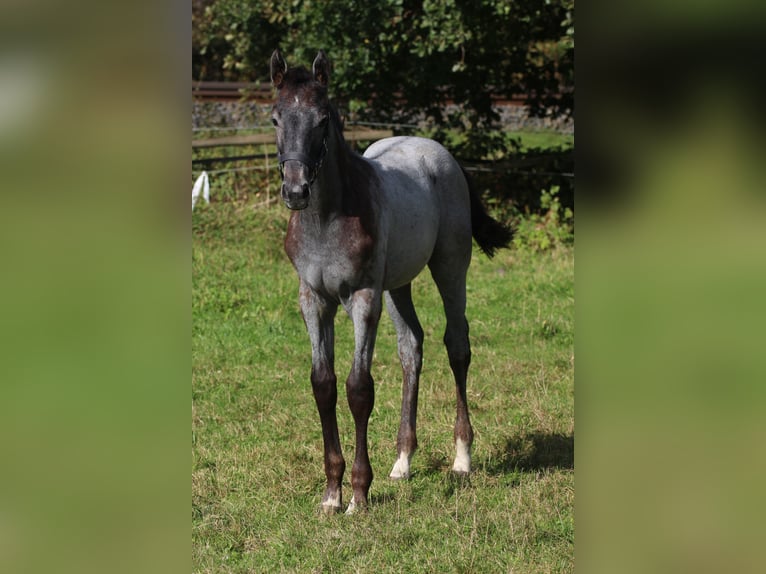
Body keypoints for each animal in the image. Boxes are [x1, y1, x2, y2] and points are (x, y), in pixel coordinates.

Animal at [272, 50, 512, 516]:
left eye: (322, 119)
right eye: (275, 118)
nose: (296, 190)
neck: (327, 219)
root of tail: (440, 152)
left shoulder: (363, 298)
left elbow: (358, 388)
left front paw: (359, 496)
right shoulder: (314, 299)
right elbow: (323, 384)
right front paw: (331, 493)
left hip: (450, 265)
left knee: (457, 345)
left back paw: (462, 457)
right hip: (398, 284)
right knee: (411, 347)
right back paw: (402, 461)